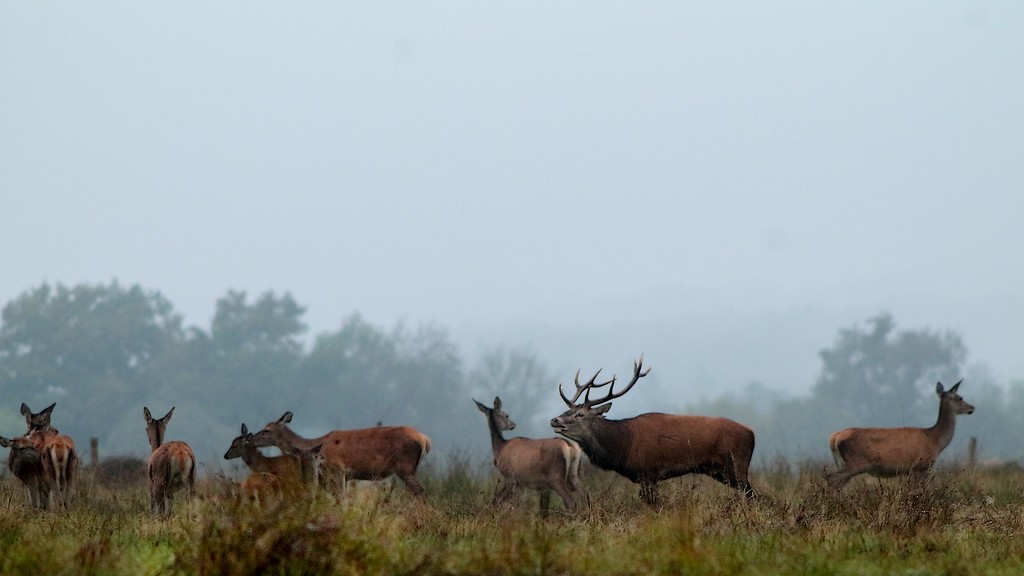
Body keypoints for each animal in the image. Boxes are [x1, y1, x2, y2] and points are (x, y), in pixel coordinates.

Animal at [250, 412, 432, 497]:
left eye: (267, 430)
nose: (251, 438)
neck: (317, 444)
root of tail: (425, 440)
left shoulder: (336, 469)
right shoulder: (344, 476)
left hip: (405, 468)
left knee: (421, 491)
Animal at [550, 355, 757, 507]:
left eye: (580, 414)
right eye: (568, 411)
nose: (554, 420)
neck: (623, 447)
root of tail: (752, 433)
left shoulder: (648, 472)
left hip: (736, 465)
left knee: (752, 495)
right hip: (719, 472)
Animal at [826, 380, 975, 488]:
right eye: (960, 397)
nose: (971, 408)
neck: (936, 441)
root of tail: (834, 438)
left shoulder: (910, 470)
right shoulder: (920, 465)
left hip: (842, 463)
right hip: (855, 463)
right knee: (831, 477)